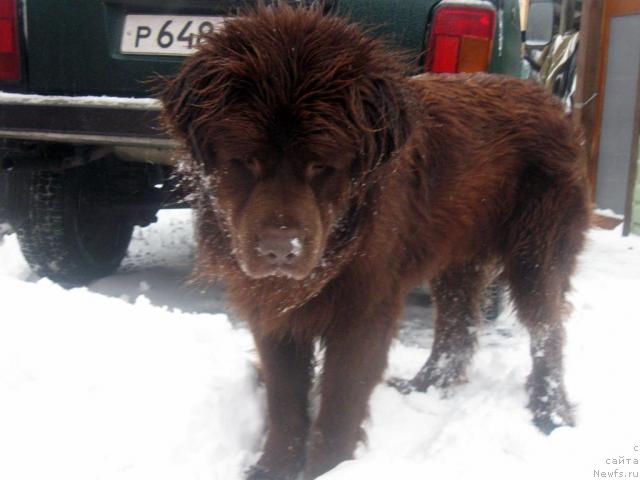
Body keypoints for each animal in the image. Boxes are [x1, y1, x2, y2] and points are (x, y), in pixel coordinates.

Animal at [160, 4, 592, 480]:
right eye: (248, 160)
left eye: (320, 165)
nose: (280, 250)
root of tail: (548, 100)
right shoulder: (271, 309)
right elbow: (284, 397)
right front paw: (273, 468)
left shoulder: (364, 307)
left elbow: (340, 402)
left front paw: (328, 469)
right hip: (459, 258)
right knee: (457, 327)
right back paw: (425, 386)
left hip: (536, 250)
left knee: (546, 329)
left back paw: (551, 413)